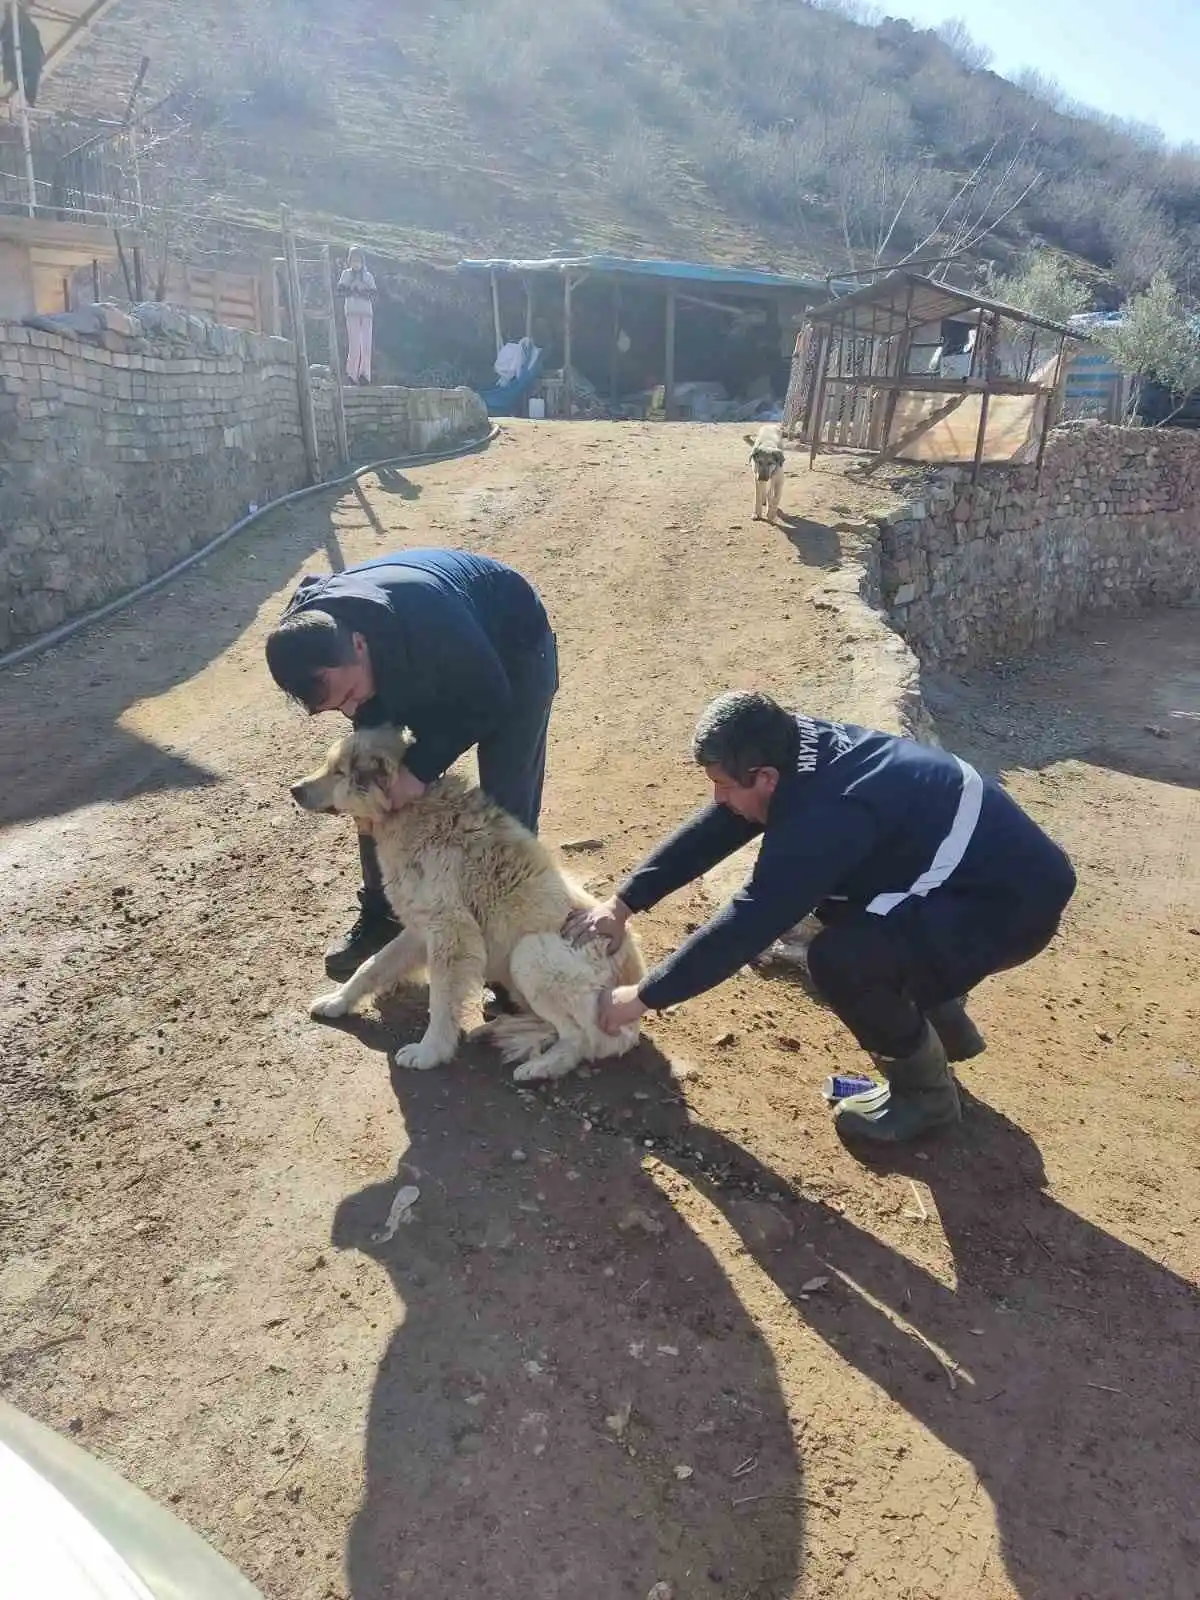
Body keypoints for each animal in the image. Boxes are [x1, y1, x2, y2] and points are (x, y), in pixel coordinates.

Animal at [292, 729, 649, 1081]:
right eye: (330, 766)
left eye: (339, 772)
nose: (294, 789)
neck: (410, 812)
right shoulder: (420, 929)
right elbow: (371, 966)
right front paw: (337, 1001)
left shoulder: (451, 932)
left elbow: (441, 999)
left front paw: (430, 1051)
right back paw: (498, 1030)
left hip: (532, 953)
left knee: (582, 1038)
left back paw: (540, 1066)